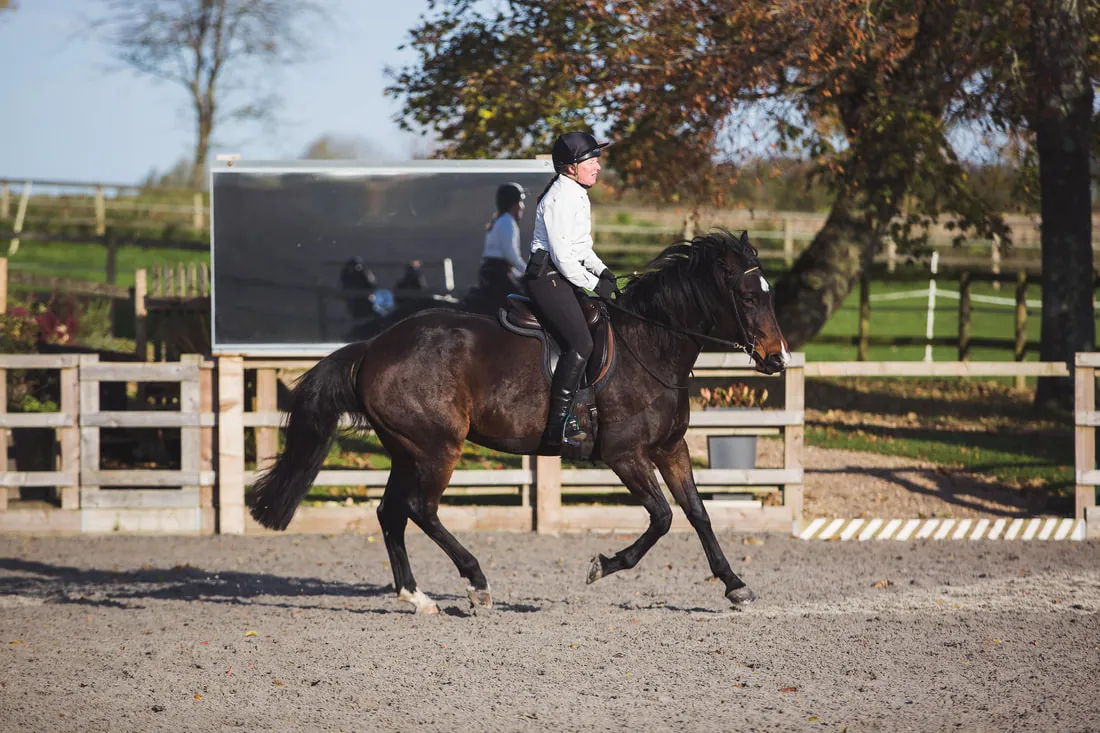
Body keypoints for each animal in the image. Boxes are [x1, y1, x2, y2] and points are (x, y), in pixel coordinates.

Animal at [248, 229, 791, 614]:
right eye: (747, 298)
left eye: (770, 294)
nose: (778, 358)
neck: (652, 345)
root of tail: (374, 346)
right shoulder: (625, 456)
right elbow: (661, 517)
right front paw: (602, 566)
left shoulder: (670, 448)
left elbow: (698, 514)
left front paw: (735, 585)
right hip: (437, 448)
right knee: (421, 509)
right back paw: (477, 583)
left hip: (406, 450)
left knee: (390, 514)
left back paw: (417, 597)